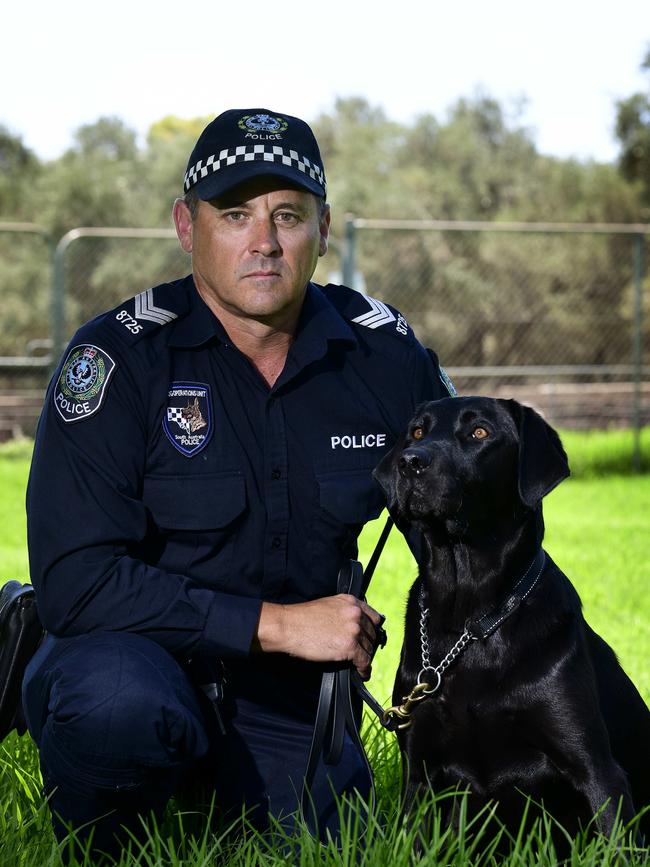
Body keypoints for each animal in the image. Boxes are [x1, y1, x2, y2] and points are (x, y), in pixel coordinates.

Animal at [372, 398, 648, 840]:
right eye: (416, 432)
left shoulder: (599, 773)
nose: (410, 461)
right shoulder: (419, 772)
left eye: (480, 432)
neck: (472, 619)